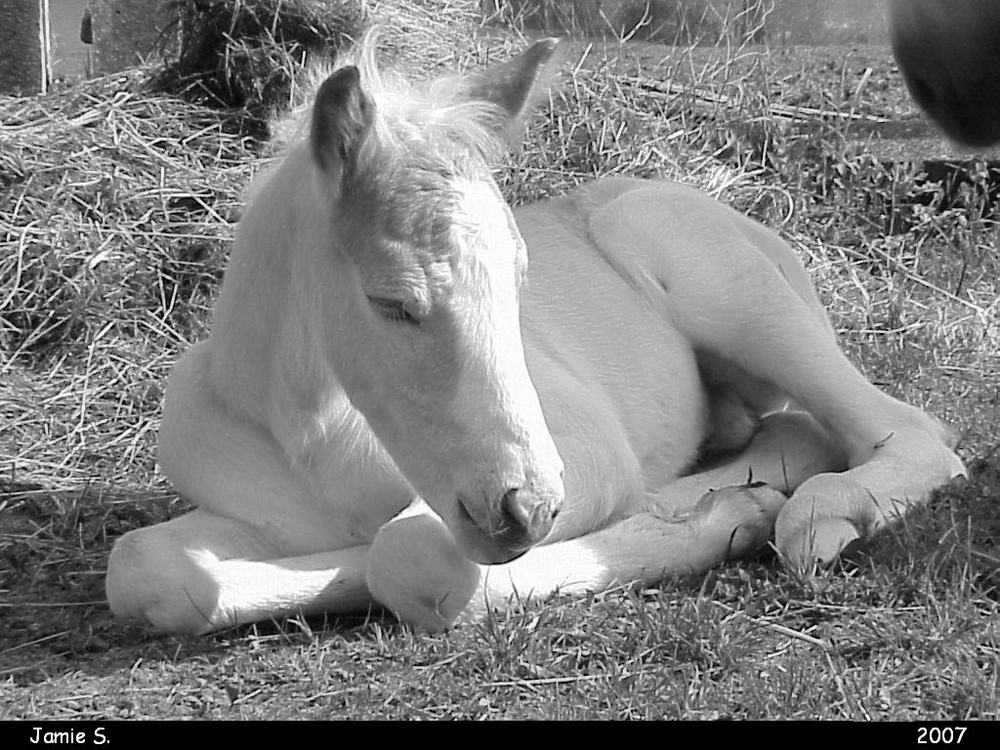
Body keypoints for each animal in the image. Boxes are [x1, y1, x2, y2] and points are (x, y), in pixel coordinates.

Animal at [105, 36, 964, 636]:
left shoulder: (585, 450)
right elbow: (147, 568)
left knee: (904, 430)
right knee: (796, 430)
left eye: (522, 280)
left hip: (730, 290)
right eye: (393, 302)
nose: (528, 510)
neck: (316, 436)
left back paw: (810, 512)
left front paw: (712, 521)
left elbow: (410, 555)